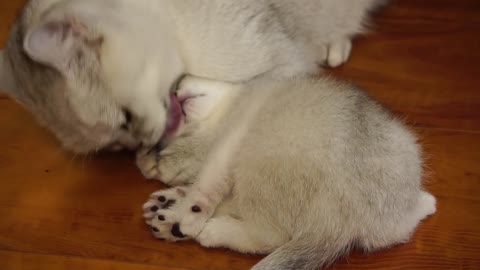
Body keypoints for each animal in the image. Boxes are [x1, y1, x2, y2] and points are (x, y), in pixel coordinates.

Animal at [142, 76, 436, 270]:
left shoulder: (232, 139)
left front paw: (187, 213)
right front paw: (174, 200)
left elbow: (208, 183)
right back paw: (425, 203)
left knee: (269, 236)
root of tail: (341, 218)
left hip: (262, 159)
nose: (175, 88)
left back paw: (214, 231)